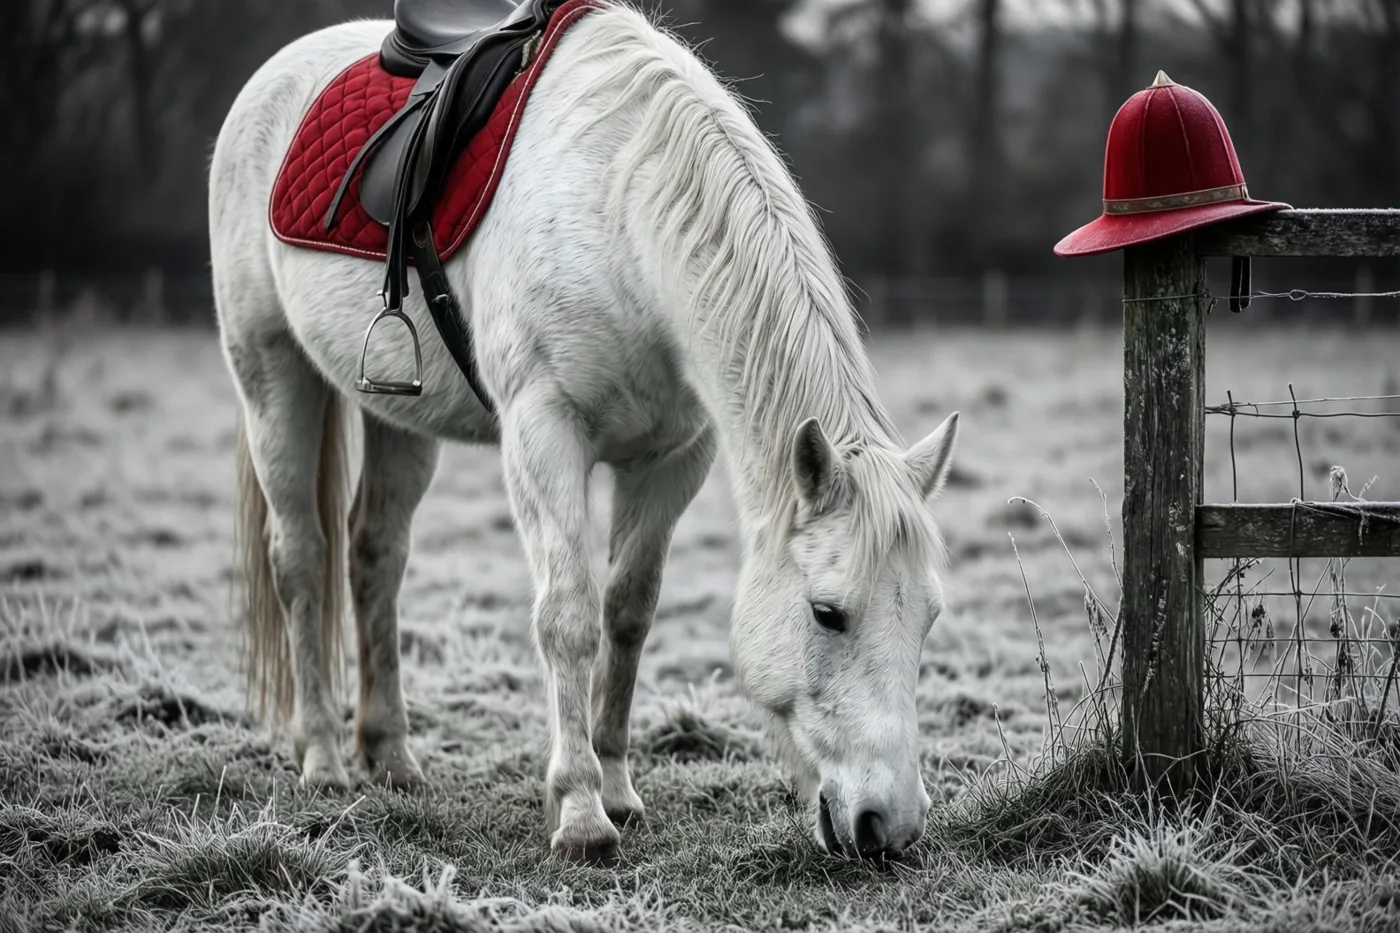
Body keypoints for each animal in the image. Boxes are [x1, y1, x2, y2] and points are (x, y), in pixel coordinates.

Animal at [210, 2, 960, 865]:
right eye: (827, 612)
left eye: (928, 617)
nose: (890, 824)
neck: (621, 211)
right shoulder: (544, 434)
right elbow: (567, 616)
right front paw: (578, 811)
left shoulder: (673, 457)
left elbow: (627, 613)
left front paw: (618, 788)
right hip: (272, 375)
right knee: (302, 557)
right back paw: (325, 759)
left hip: (397, 416)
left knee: (374, 557)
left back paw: (390, 755)